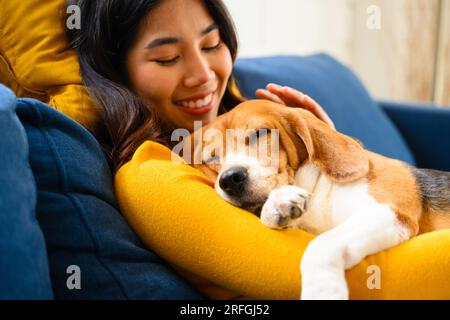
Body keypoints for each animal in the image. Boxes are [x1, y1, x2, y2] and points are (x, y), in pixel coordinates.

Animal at [187, 99, 450, 300]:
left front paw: (322, 290)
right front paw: (279, 205)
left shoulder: (389, 213)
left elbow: (321, 245)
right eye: (211, 158)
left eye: (260, 133)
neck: (319, 189)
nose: (229, 179)